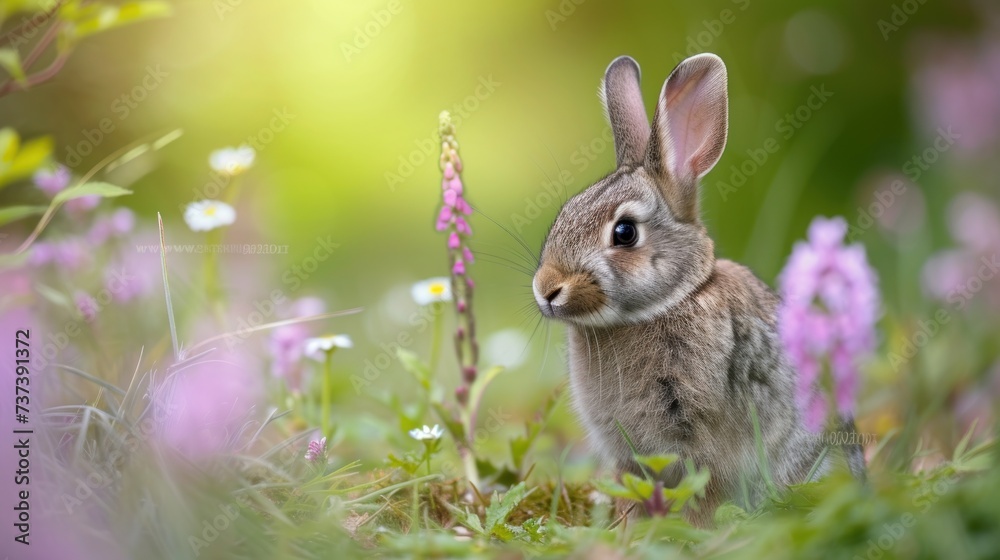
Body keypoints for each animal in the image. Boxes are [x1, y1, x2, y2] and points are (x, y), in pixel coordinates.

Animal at [532, 53, 866, 527]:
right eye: (564, 214)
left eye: (624, 232)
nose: (547, 289)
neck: (667, 302)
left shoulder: (701, 438)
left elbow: (704, 491)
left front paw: (691, 529)